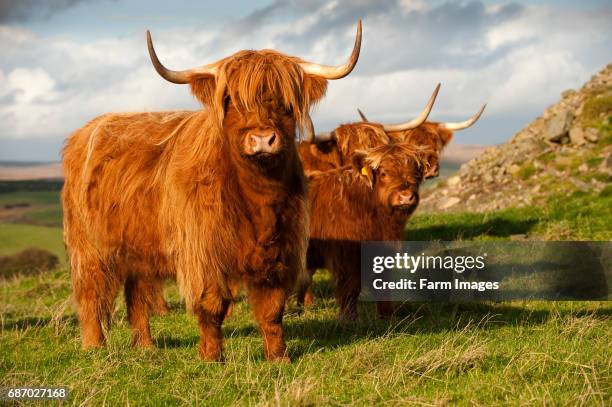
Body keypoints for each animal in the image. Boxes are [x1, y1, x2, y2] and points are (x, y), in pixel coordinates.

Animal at [61, 22, 364, 362]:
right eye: (230, 99)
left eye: (284, 100)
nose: (262, 139)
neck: (257, 198)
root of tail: (85, 130)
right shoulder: (203, 252)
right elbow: (212, 305)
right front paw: (211, 357)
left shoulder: (280, 249)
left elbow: (273, 310)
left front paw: (279, 357)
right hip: (90, 247)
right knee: (91, 292)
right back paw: (94, 345)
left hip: (139, 248)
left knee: (137, 292)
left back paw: (146, 346)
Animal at [298, 143, 432, 318]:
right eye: (383, 173)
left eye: (416, 172)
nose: (406, 196)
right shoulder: (348, 255)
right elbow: (351, 288)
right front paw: (349, 319)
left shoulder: (383, 250)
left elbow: (382, 283)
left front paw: (387, 316)